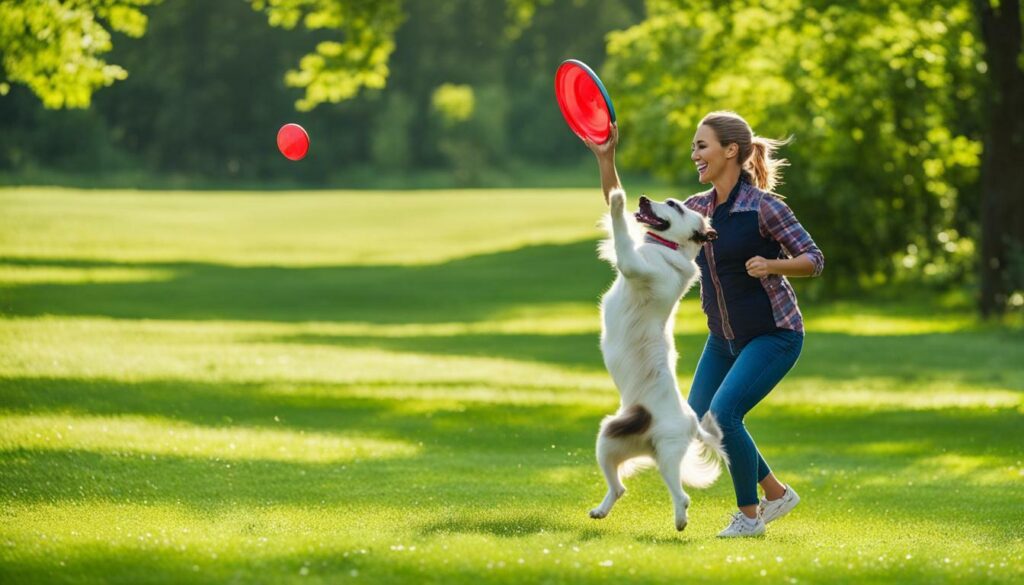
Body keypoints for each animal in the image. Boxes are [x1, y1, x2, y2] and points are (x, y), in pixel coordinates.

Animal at [593, 187, 729, 532]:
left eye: (673, 205)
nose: (642, 198)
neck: (668, 249)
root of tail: (692, 423)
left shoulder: (634, 266)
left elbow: (623, 238)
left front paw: (618, 199)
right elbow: (618, 237)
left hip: (667, 454)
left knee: (681, 494)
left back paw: (680, 520)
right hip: (610, 440)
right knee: (619, 487)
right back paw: (599, 511)